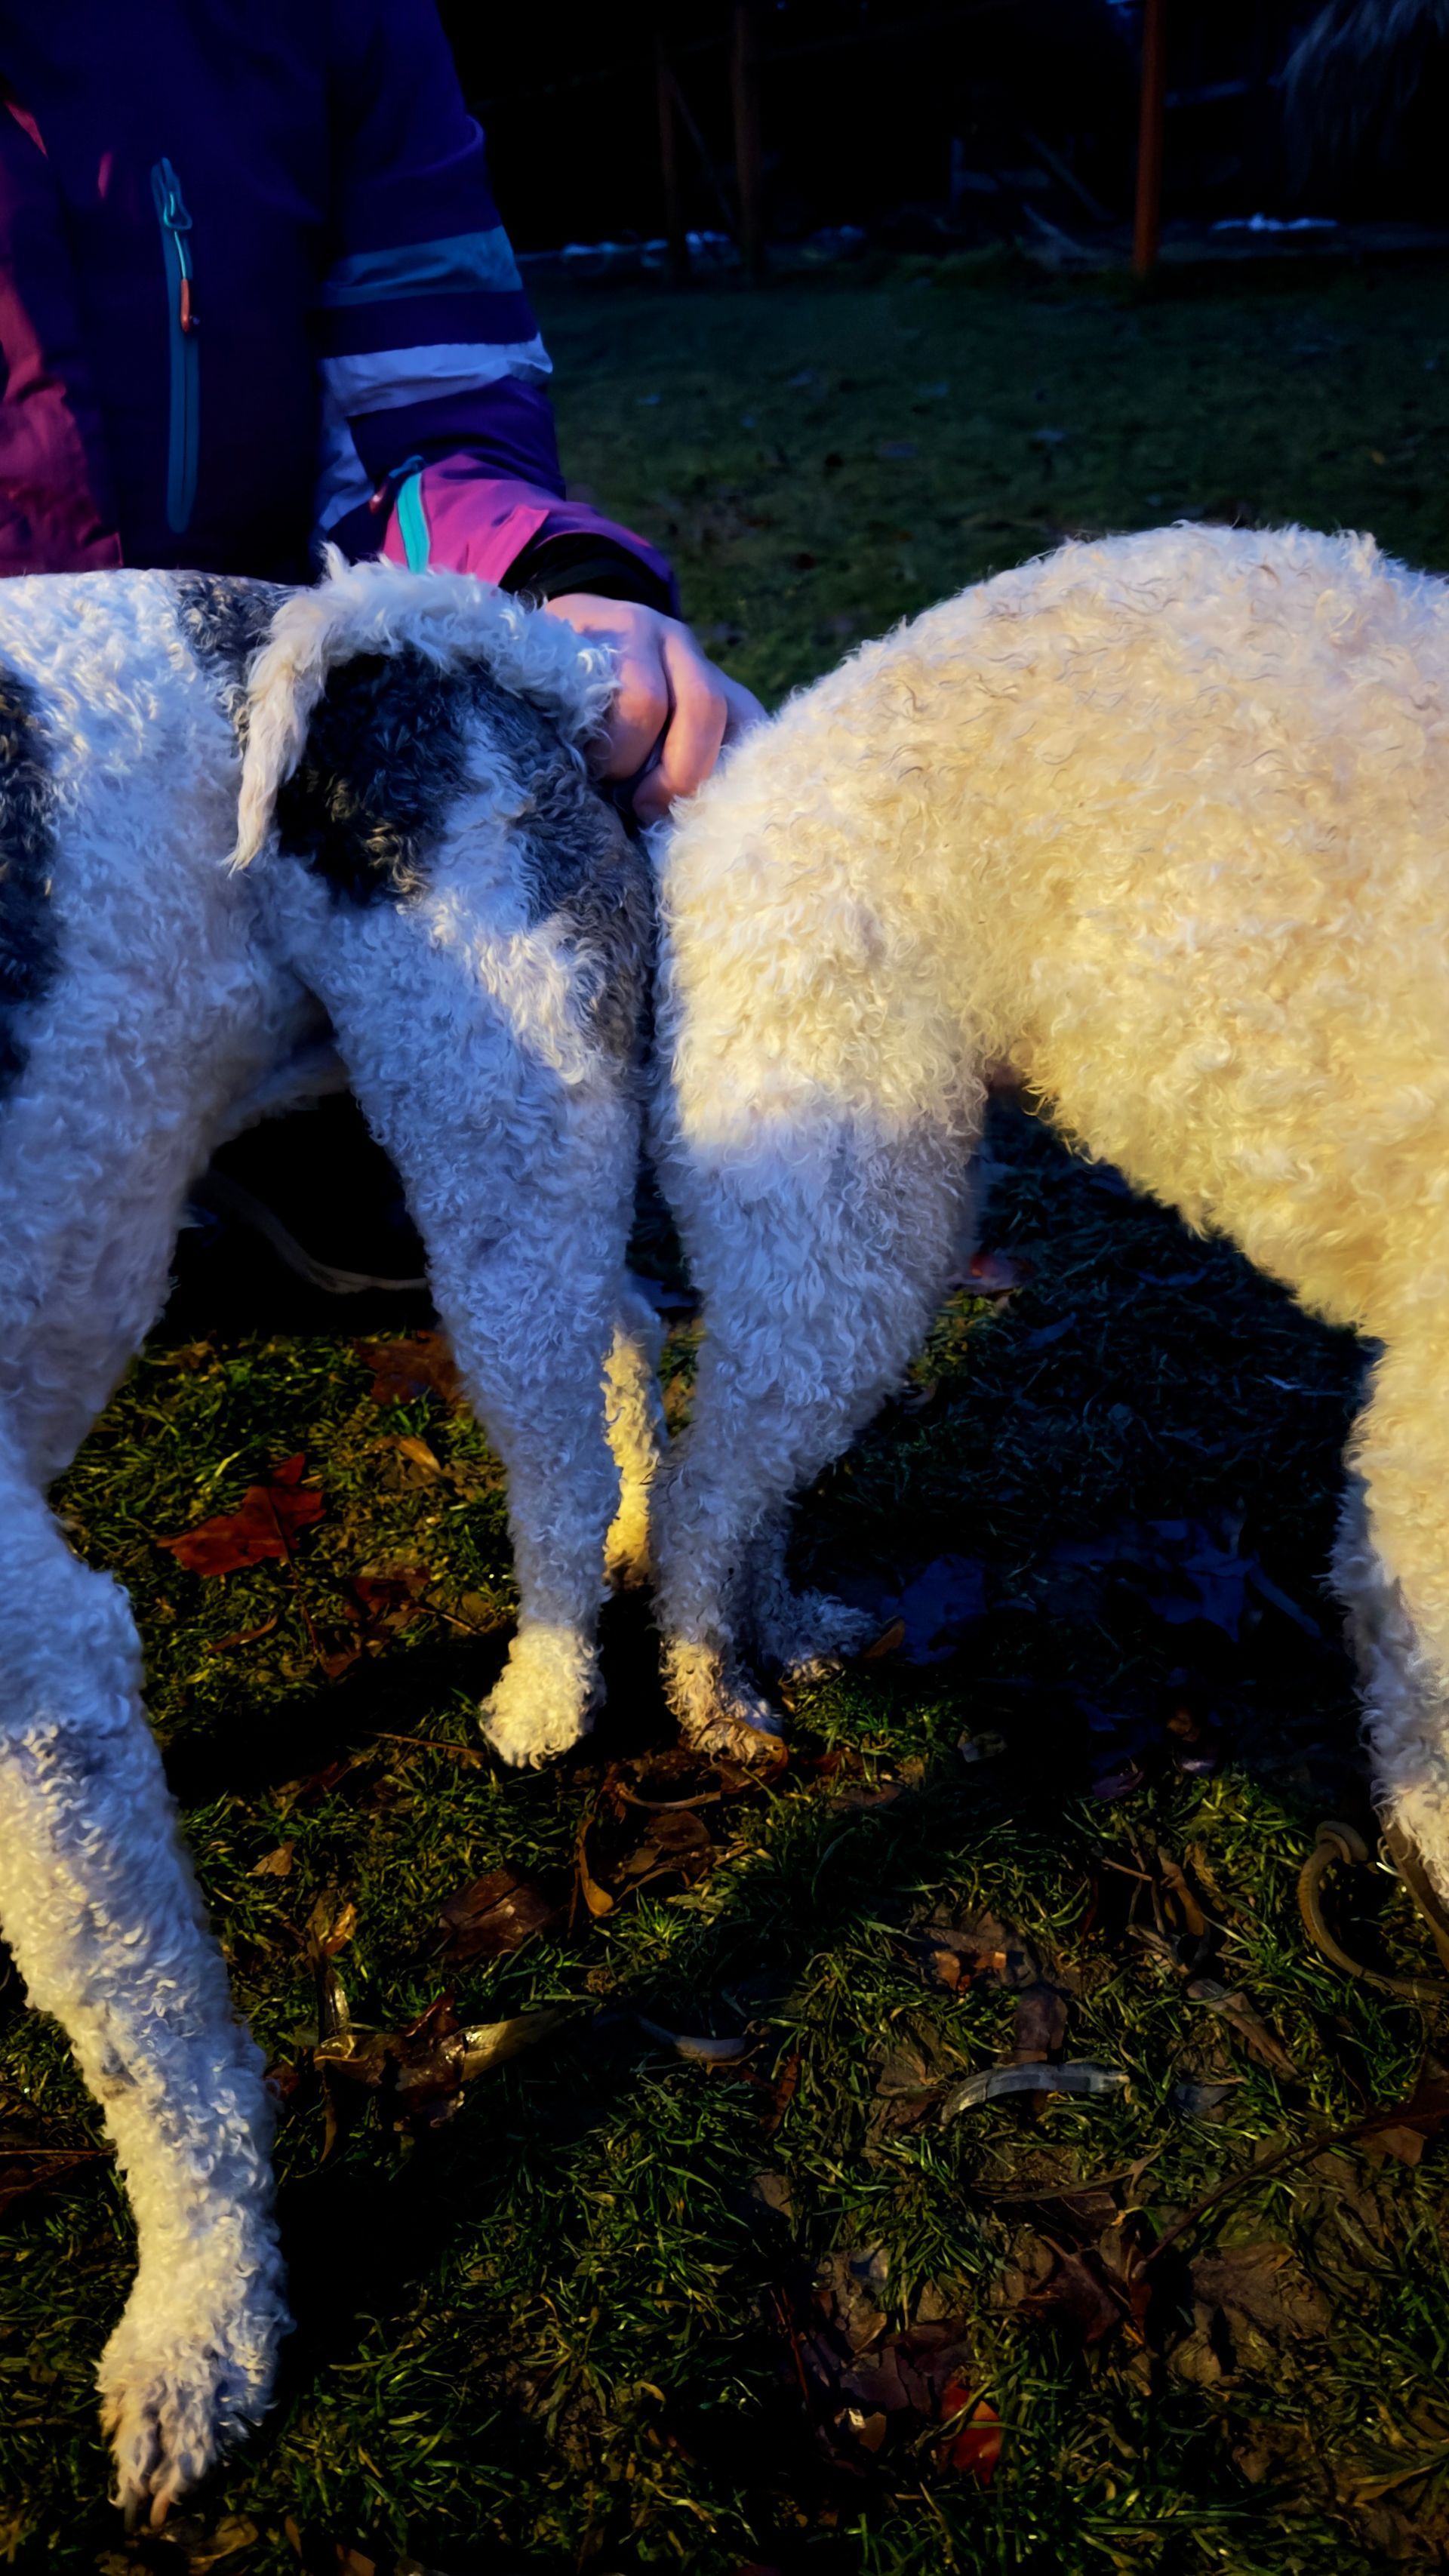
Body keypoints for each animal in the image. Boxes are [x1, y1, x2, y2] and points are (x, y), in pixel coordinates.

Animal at [0, 555, 658, 2517]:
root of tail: (489, 645)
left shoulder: (32, 1659)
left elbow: (151, 2045)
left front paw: (202, 2330)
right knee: (626, 1337)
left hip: (494, 1149)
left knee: (553, 1454)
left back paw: (554, 1680)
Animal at [648, 522, 1449, 1909]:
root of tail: (732, 790)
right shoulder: (1433, 1402)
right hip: (845, 1201)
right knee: (709, 1484)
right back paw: (716, 1694)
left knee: (755, 1470)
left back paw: (786, 1628)